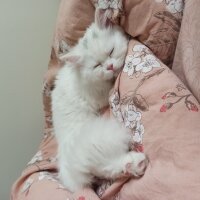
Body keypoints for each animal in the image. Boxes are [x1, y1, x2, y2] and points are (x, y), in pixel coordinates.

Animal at [51, 9, 148, 192]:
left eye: (111, 51)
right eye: (97, 66)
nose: (109, 67)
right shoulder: (99, 97)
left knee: (109, 168)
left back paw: (135, 165)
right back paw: (138, 162)